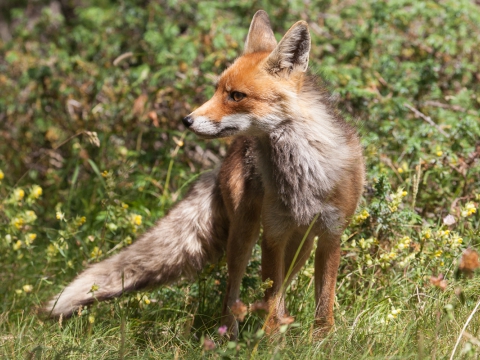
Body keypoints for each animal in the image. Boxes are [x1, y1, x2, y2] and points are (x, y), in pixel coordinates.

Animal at [47, 10, 366, 338]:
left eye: (236, 95)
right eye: (217, 90)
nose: (186, 120)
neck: (304, 174)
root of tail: (228, 155)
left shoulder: (331, 234)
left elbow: (322, 303)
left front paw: (321, 340)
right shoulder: (273, 234)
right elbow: (271, 299)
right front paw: (268, 340)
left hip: (300, 245)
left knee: (278, 289)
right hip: (245, 234)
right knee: (232, 292)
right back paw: (230, 336)